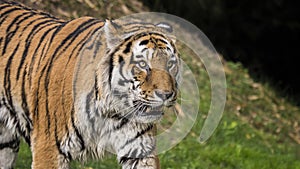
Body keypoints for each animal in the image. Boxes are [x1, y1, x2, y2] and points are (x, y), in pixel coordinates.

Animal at [0, 0, 180, 168]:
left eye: (170, 64)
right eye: (143, 64)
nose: (166, 95)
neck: (111, 110)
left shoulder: (140, 148)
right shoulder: (49, 146)